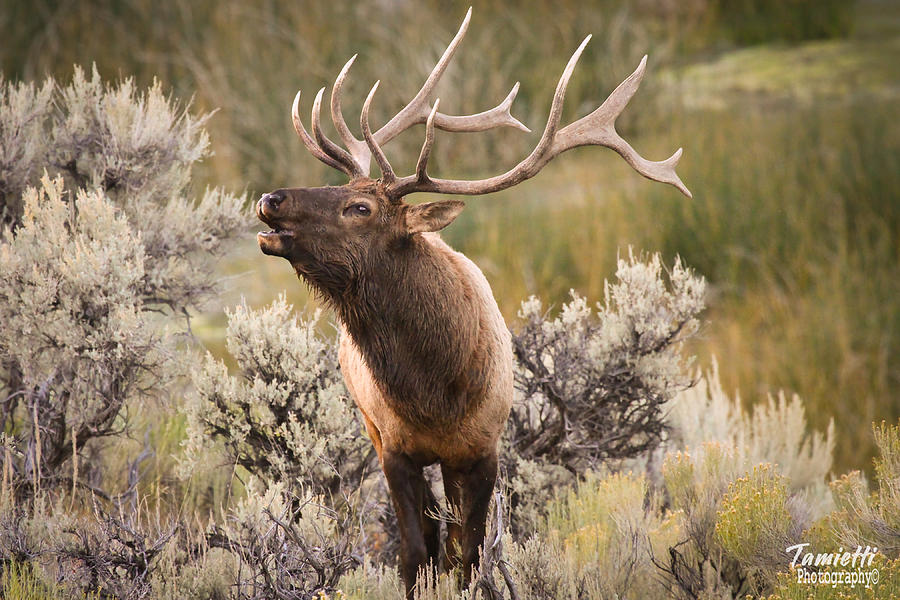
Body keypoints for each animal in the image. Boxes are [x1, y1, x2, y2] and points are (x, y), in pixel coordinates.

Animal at [253, 5, 688, 596]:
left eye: (360, 208)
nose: (270, 199)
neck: (435, 392)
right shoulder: (394, 447)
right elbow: (416, 553)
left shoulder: (483, 449)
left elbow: (470, 556)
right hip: (371, 428)